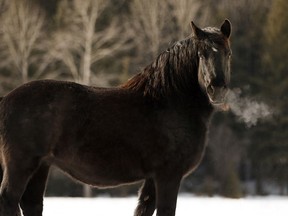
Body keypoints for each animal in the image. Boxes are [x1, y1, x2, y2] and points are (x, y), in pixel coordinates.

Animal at [0, 19, 232, 215]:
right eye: (201, 54)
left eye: (228, 53)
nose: (217, 89)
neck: (168, 102)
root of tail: (6, 99)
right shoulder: (168, 175)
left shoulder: (153, 178)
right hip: (22, 164)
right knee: (9, 199)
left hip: (41, 166)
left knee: (30, 203)